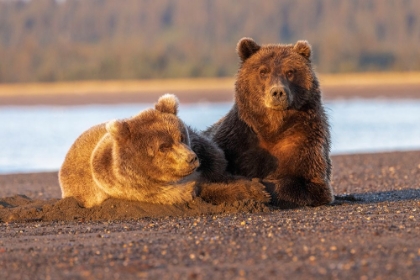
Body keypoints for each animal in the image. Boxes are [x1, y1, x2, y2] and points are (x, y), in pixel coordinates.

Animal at [59, 93, 270, 207]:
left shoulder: (207, 153)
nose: (191, 158)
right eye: (163, 147)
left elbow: (218, 167)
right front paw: (256, 191)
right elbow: (200, 190)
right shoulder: (151, 191)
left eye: (181, 137)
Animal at [204, 37, 334, 208]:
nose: (278, 92)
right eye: (263, 72)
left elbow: (308, 182)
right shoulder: (236, 141)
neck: (272, 127)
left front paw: (264, 187)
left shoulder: (305, 140)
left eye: (290, 72)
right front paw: (250, 189)